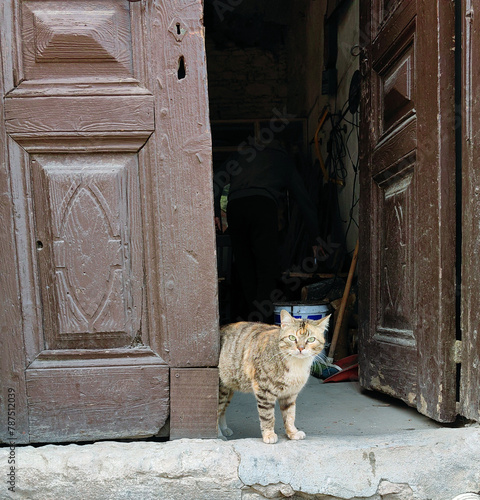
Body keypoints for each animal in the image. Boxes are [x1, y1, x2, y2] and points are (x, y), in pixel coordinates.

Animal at [218, 310, 330, 444]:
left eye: (311, 339)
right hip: (221, 391)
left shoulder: (290, 394)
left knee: (222, 410)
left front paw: (292, 433)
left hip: (229, 388)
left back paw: (224, 428)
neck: (297, 365)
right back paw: (218, 435)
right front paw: (269, 434)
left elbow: (290, 415)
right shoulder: (264, 391)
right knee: (216, 411)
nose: (301, 348)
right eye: (292, 338)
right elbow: (267, 416)